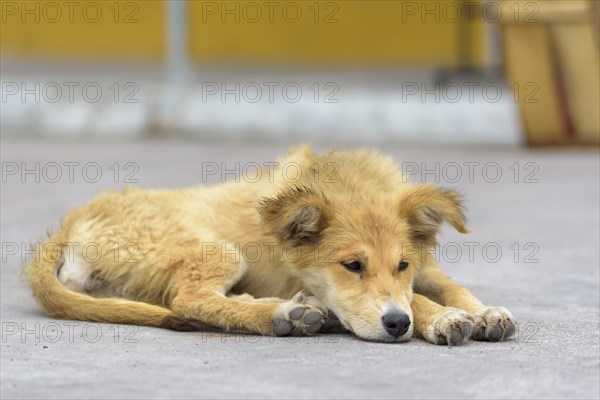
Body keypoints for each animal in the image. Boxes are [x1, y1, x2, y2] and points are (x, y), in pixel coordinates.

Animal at [27, 147, 516, 344]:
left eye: (402, 264)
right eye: (352, 265)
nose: (396, 325)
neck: (353, 185)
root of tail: (71, 220)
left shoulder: (426, 268)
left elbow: (448, 287)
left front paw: (484, 312)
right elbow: (417, 300)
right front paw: (443, 319)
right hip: (219, 250)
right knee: (188, 299)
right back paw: (285, 315)